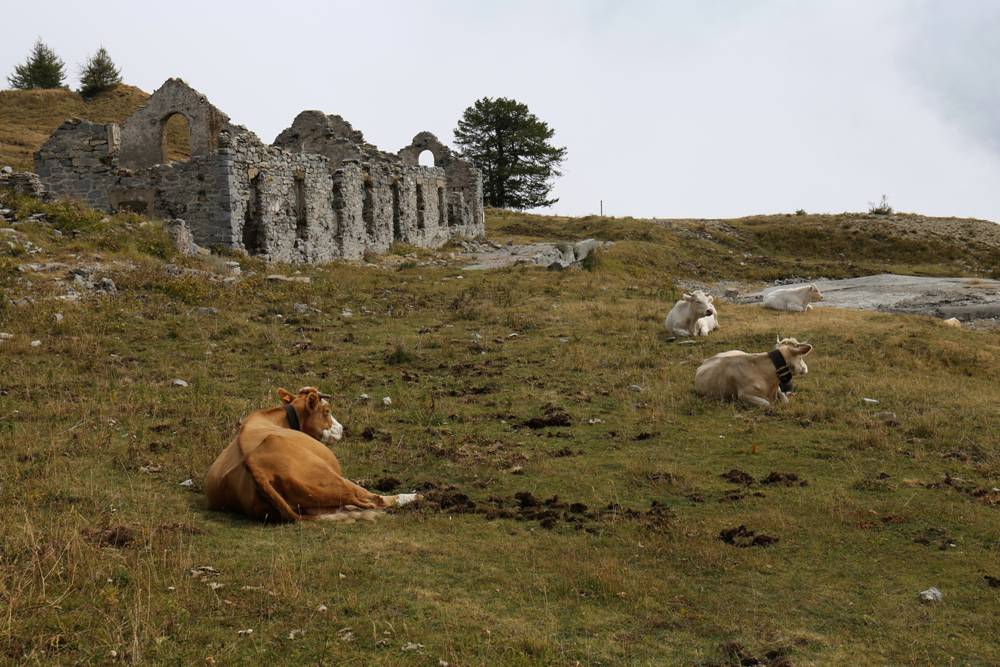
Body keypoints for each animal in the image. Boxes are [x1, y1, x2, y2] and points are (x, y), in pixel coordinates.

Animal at [205, 386, 416, 520]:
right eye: (327, 411)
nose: (342, 428)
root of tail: (254, 465)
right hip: (330, 479)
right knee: (374, 499)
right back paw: (413, 497)